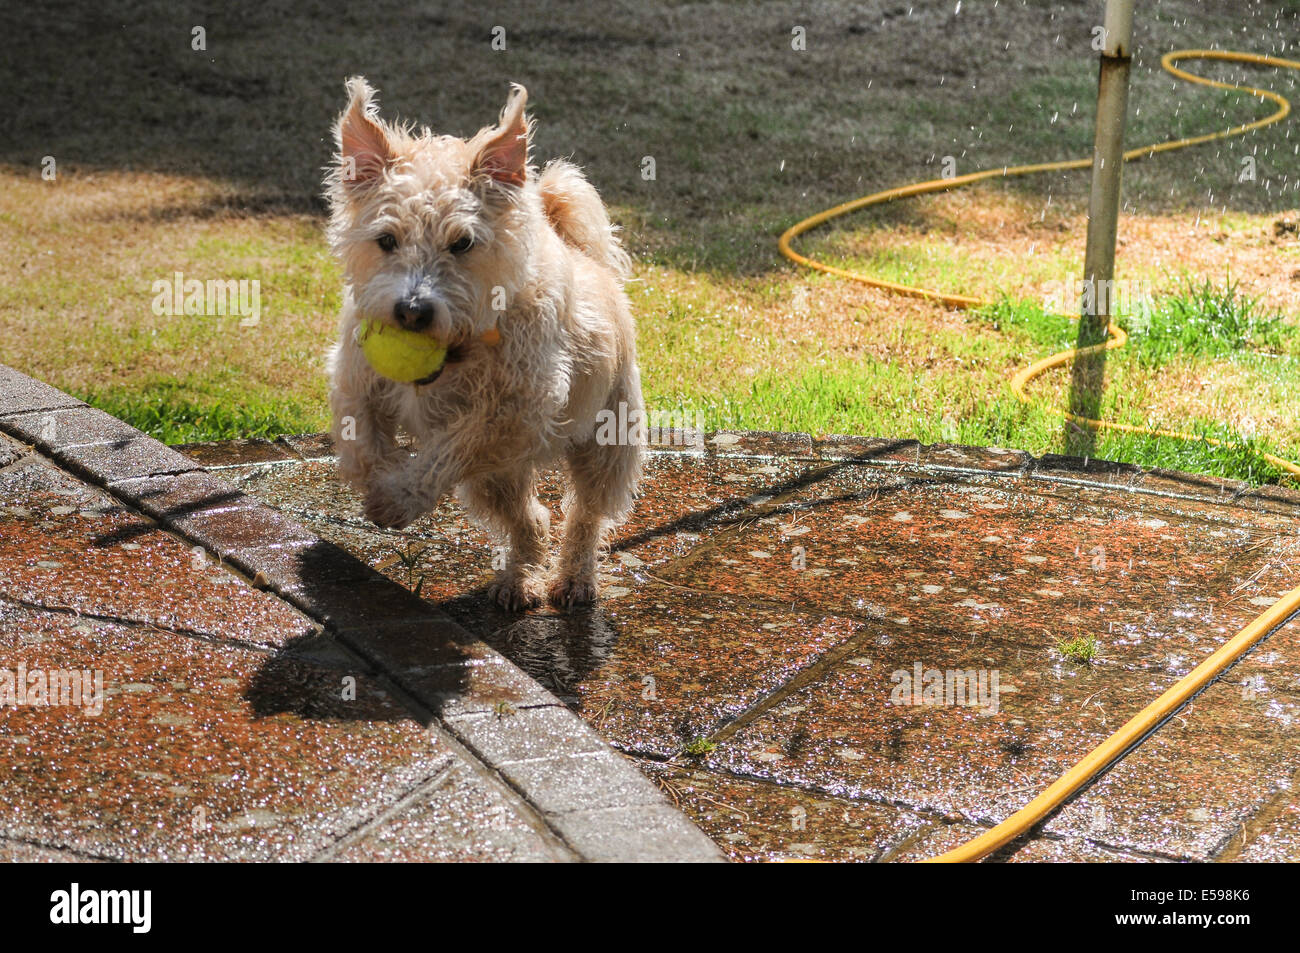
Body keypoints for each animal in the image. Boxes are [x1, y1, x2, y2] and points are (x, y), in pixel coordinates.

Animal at [322, 78, 642, 605]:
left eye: (462, 243)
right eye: (386, 240)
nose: (412, 310)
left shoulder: (517, 410)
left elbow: (453, 446)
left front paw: (399, 495)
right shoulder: (355, 378)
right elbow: (361, 447)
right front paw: (382, 479)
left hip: (606, 441)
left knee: (586, 514)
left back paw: (575, 576)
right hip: (498, 479)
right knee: (531, 519)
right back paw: (519, 578)